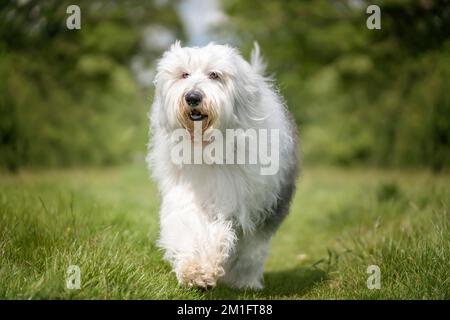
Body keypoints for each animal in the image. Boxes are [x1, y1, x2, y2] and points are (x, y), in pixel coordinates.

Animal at [148, 41, 298, 288]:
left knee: (252, 251)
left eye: (214, 75)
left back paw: (247, 281)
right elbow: (188, 226)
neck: (208, 146)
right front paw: (194, 270)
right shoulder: (185, 191)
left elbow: (227, 234)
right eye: (184, 74)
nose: (192, 97)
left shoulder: (240, 199)